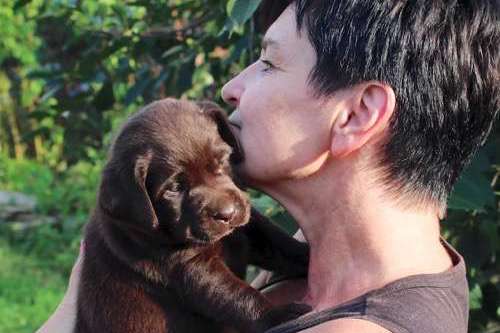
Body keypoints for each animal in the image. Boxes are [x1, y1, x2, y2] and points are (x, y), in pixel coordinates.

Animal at [75, 98, 308, 332]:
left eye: (222, 159)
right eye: (174, 188)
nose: (227, 214)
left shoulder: (250, 229)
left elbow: (280, 244)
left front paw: (307, 255)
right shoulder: (192, 267)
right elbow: (240, 296)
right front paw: (279, 315)